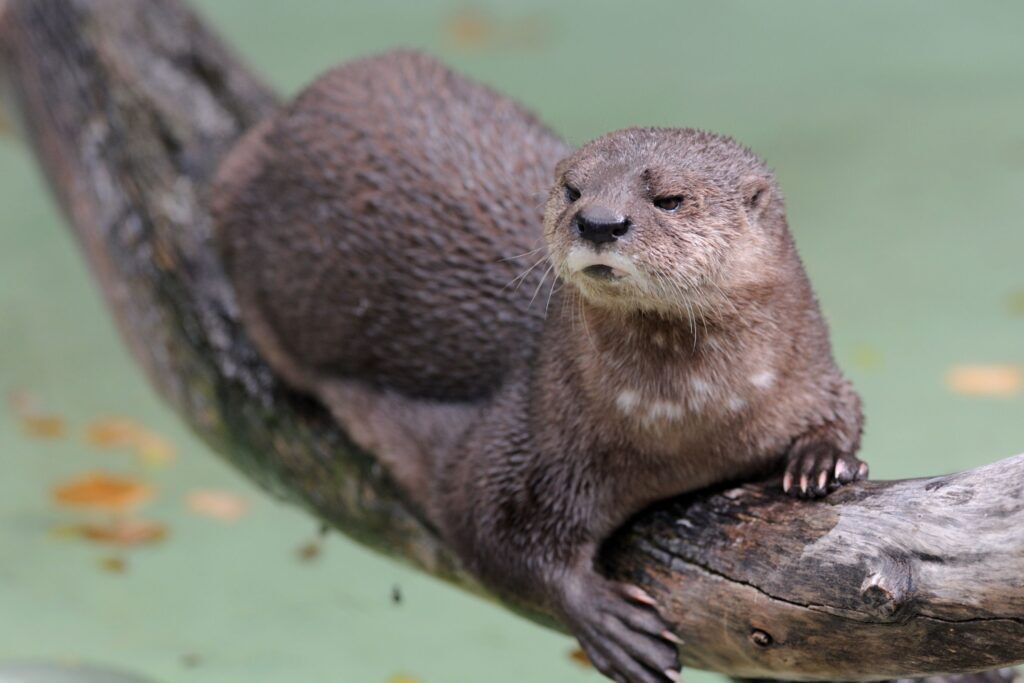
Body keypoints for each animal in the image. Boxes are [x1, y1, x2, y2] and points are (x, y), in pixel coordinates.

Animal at [211, 49, 868, 683]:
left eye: (670, 199)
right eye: (574, 190)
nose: (599, 221)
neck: (690, 427)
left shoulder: (807, 374)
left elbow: (846, 408)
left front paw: (822, 460)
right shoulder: (531, 437)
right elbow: (487, 524)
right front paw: (604, 619)